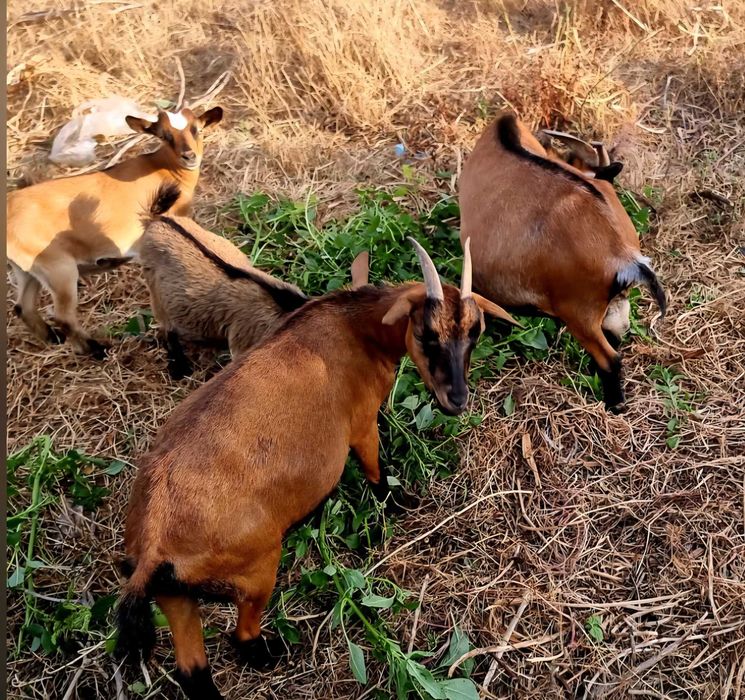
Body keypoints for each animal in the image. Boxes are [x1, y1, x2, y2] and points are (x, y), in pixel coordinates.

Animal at [6, 106, 223, 357]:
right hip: (58, 268)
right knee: (63, 316)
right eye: (164, 135)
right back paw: (96, 350)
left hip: (27, 270)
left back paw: (54, 339)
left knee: (24, 307)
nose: (189, 156)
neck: (162, 169)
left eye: (197, 129)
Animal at [115, 239, 517, 699]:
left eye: (475, 331)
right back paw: (272, 654)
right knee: (242, 635)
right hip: (257, 570)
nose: (457, 400)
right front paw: (400, 501)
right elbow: (374, 468)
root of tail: (153, 545)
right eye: (426, 333)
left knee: (193, 670)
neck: (353, 328)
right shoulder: (360, 422)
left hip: (176, 599)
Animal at [459, 111, 666, 412]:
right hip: (605, 307)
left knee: (610, 359)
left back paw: (614, 406)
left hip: (579, 314)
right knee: (617, 334)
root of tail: (623, 255)